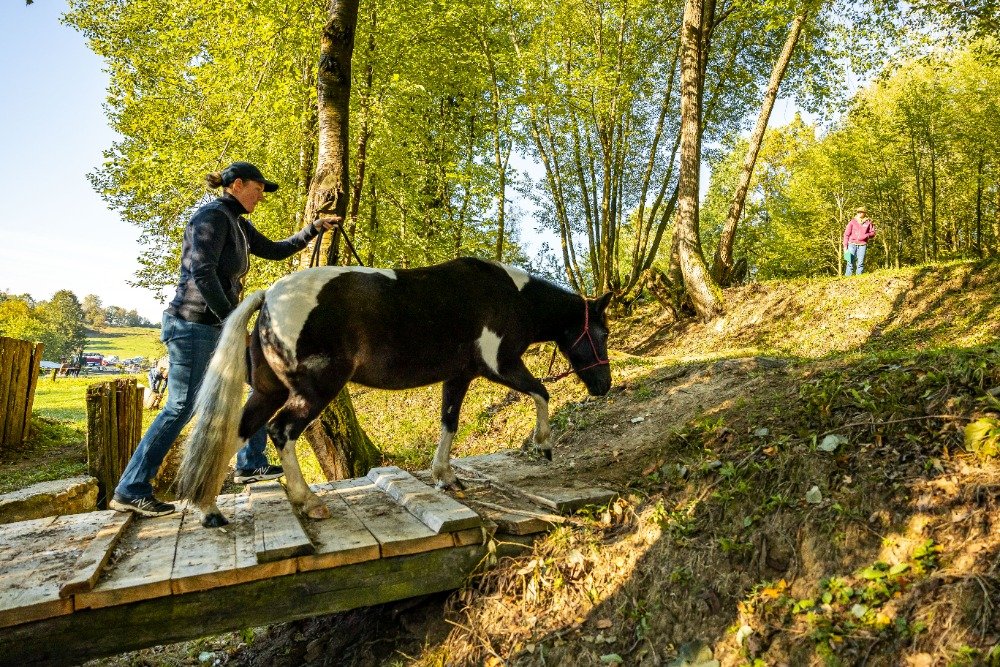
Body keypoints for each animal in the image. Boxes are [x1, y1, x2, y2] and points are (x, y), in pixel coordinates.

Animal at [177, 258, 612, 528]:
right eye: (601, 333)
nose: (604, 386)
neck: (508, 295)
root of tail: (268, 298)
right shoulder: (501, 366)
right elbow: (542, 393)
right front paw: (543, 445)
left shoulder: (459, 377)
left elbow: (449, 423)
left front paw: (445, 476)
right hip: (314, 392)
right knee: (281, 432)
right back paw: (309, 502)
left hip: (268, 393)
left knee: (235, 433)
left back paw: (208, 509)